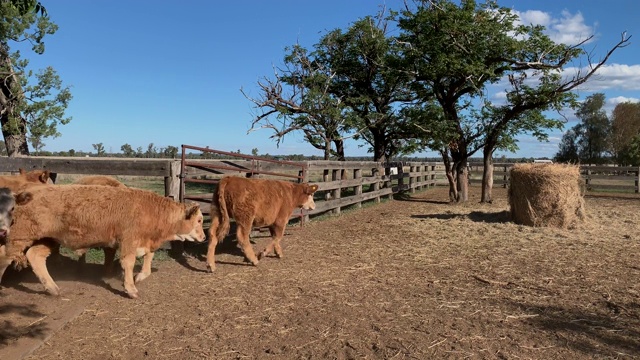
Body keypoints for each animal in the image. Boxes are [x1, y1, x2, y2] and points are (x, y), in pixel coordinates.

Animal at [0, 184, 205, 300]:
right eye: (200, 220)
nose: (203, 237)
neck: (151, 209)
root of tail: (23, 193)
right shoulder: (128, 241)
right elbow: (129, 263)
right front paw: (131, 289)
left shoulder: (144, 241)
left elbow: (148, 257)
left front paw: (140, 277)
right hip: (19, 236)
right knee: (5, 257)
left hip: (48, 239)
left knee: (35, 256)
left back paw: (53, 289)